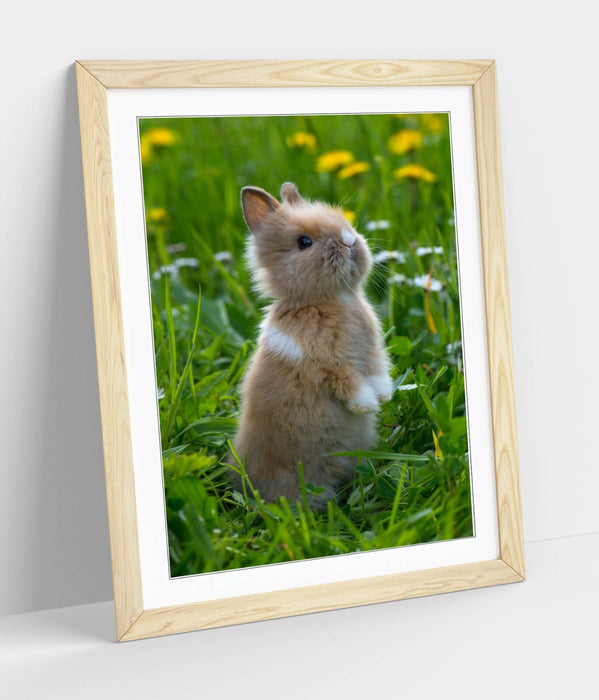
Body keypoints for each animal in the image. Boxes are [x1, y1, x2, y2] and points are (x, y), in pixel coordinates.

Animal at [230, 182, 392, 507]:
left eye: (345, 223)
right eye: (304, 242)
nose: (349, 241)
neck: (329, 299)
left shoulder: (371, 350)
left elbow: (377, 368)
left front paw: (383, 396)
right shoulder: (326, 362)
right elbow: (348, 380)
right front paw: (367, 404)